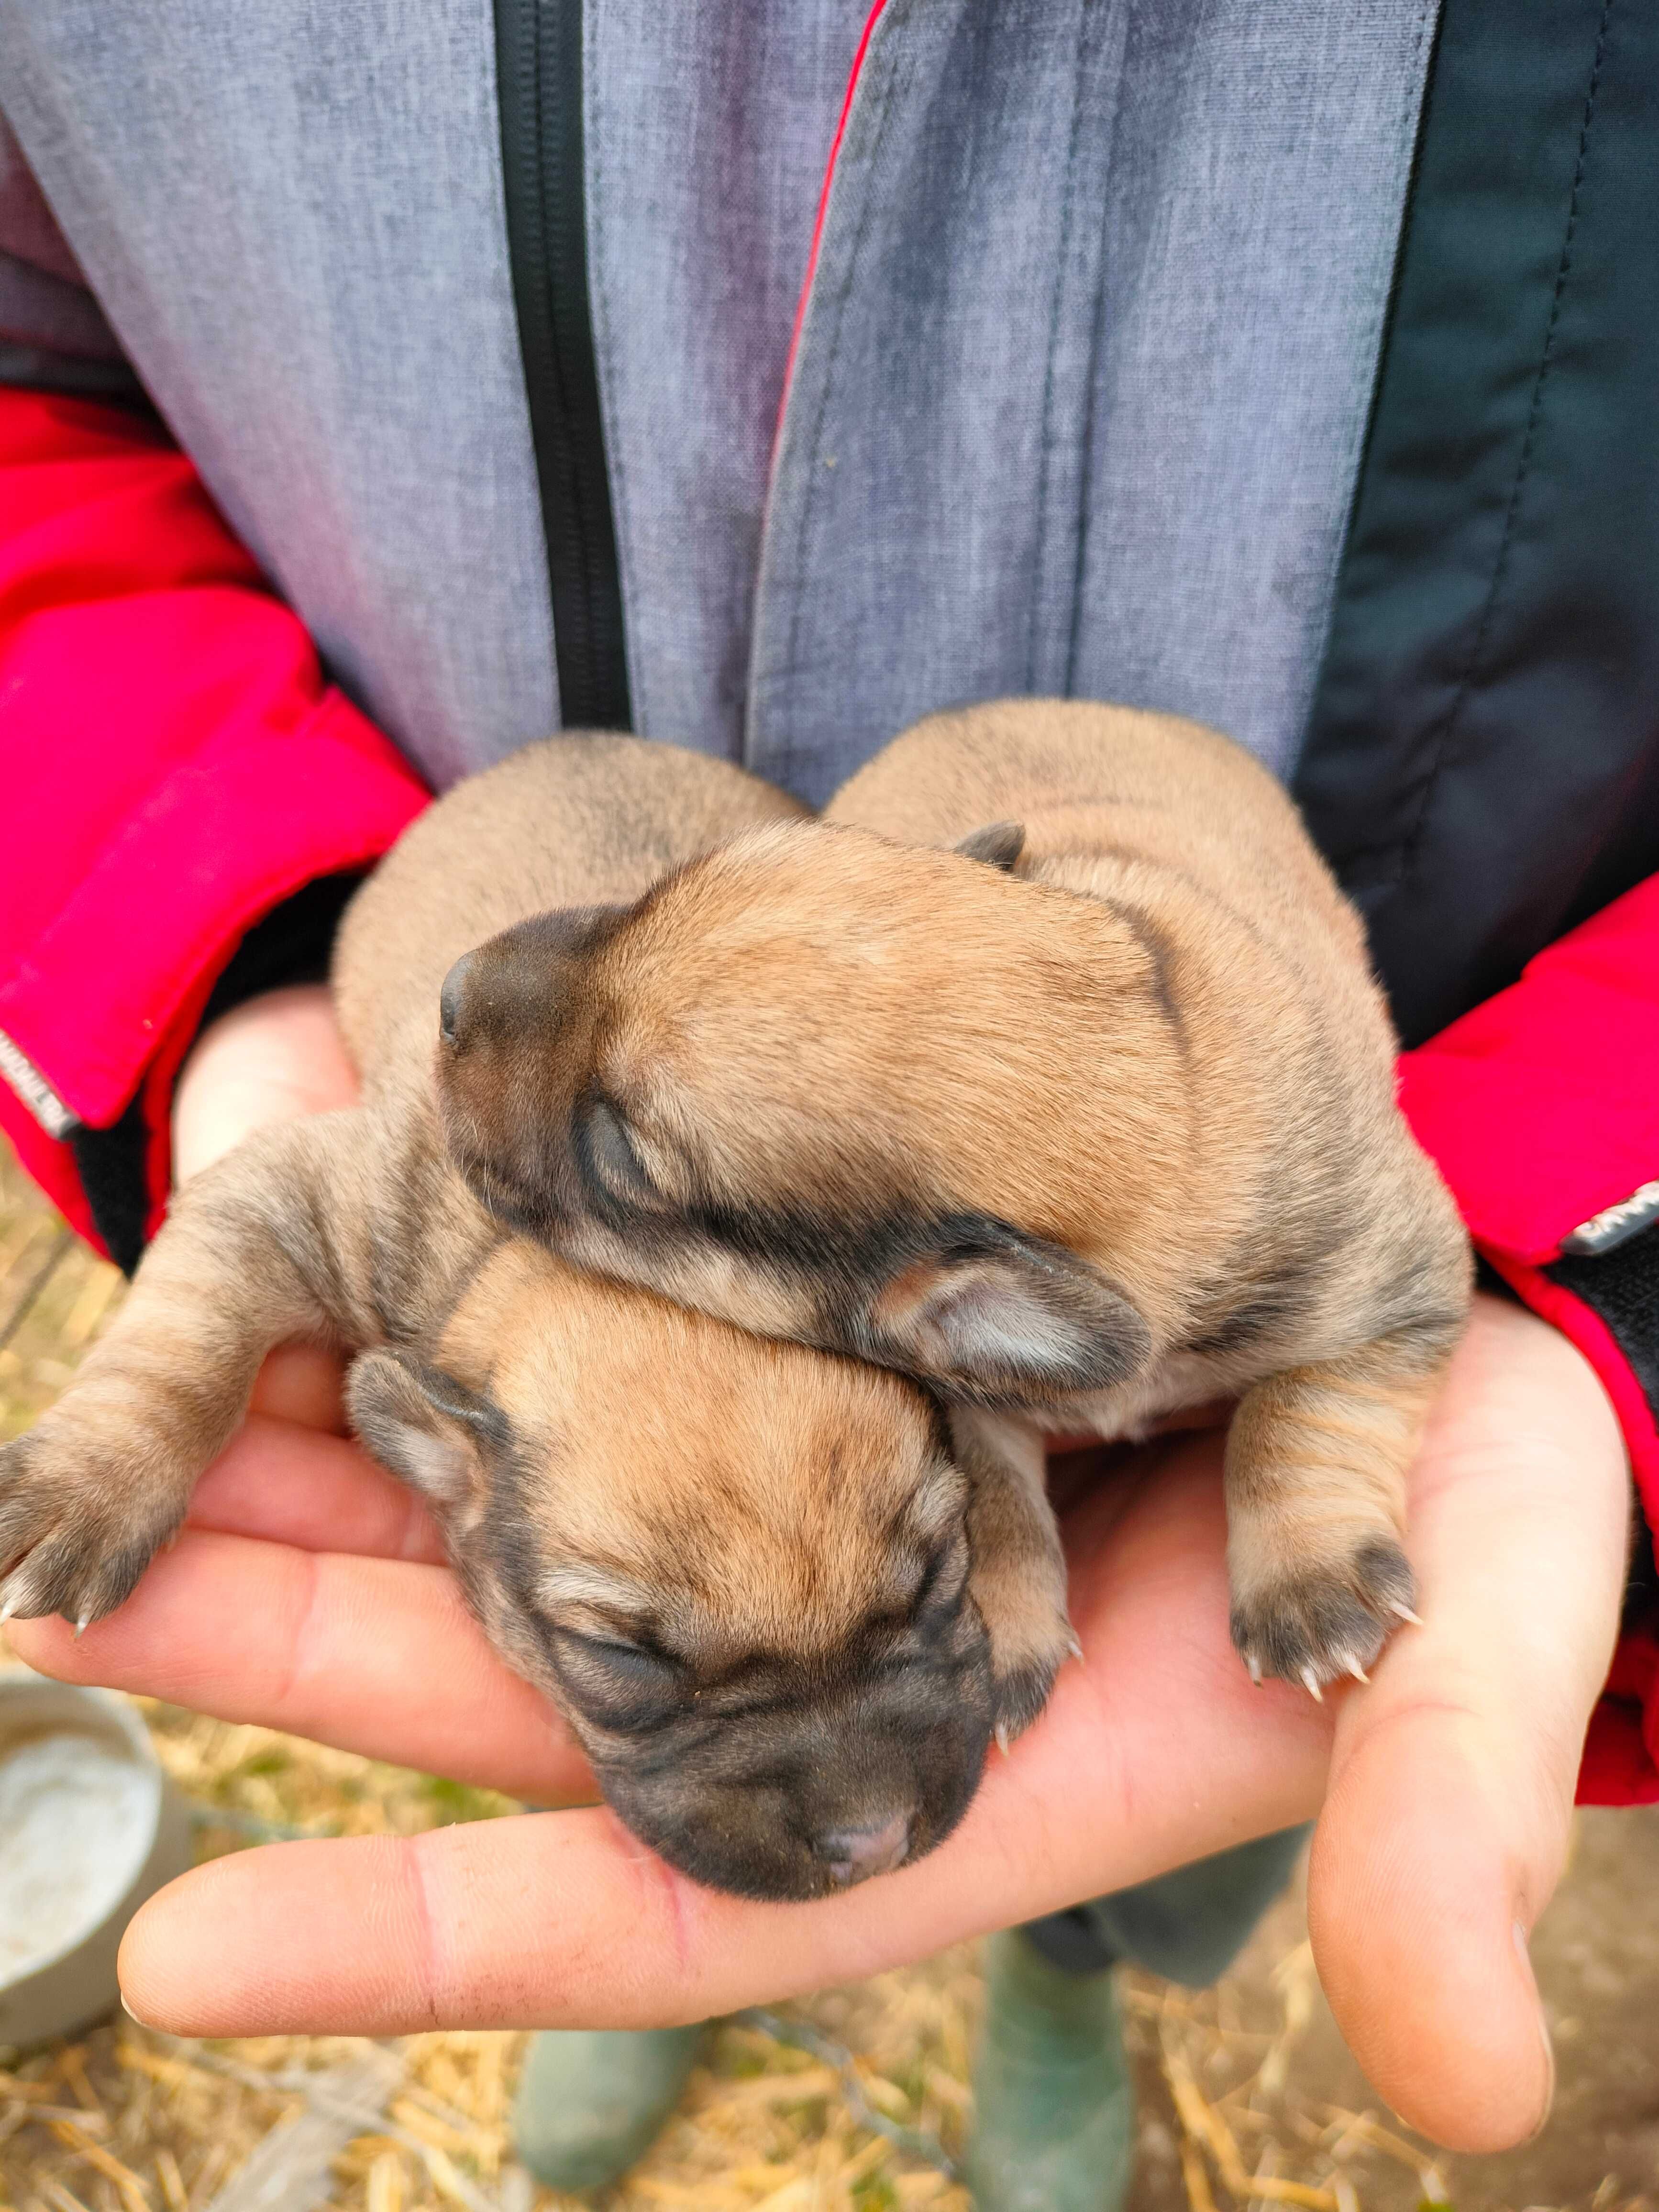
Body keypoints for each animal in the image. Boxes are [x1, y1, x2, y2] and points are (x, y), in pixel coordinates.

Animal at [0, 739, 1000, 1902]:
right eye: (619, 1660)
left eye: (936, 1574)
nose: (874, 1841)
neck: (571, 1259)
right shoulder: (290, 1198)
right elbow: (182, 1343)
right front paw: (86, 1487)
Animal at [435, 699, 1477, 1699]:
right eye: (641, 906)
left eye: (616, 1153)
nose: (451, 991)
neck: (1180, 1092)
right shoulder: (962, 1400)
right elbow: (999, 1502)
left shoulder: (1400, 1291)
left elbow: (1299, 1412)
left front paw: (1309, 1580)